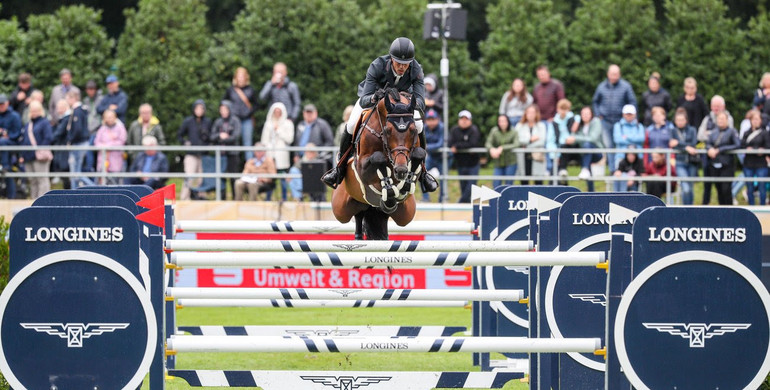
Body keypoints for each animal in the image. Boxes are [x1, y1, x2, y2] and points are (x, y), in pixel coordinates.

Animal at [330, 89, 426, 241]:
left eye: (412, 130)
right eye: (388, 130)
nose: (401, 170)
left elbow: (419, 153)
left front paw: (404, 185)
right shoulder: (362, 168)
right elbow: (377, 158)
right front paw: (389, 189)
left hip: (406, 214)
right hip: (341, 208)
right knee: (357, 216)